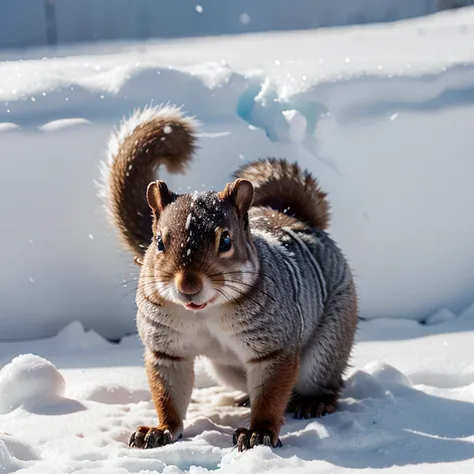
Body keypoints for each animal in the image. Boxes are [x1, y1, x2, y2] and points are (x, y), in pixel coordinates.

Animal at [100, 103, 360, 452]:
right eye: (159, 242)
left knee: (320, 381)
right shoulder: (166, 349)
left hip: (326, 348)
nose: (188, 286)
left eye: (226, 241)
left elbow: (271, 396)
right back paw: (244, 399)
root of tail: (293, 217)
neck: (205, 311)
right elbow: (169, 393)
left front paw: (258, 433)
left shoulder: (273, 347)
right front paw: (160, 430)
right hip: (228, 370)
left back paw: (315, 401)